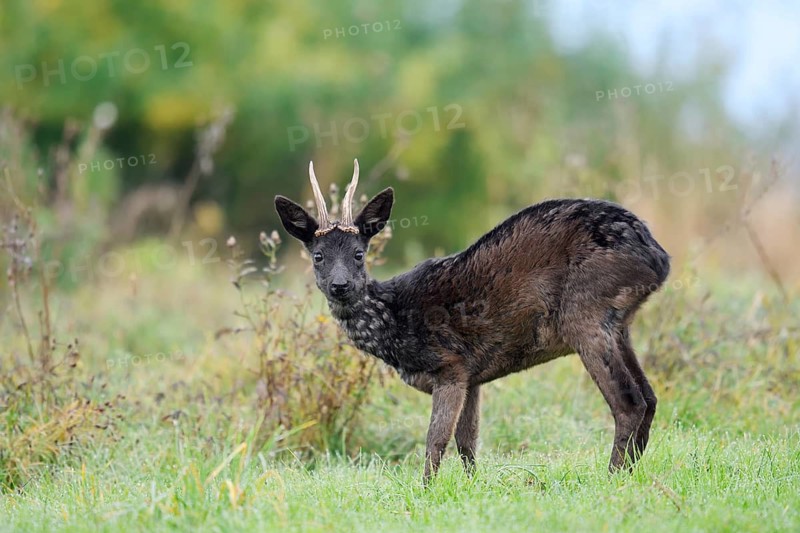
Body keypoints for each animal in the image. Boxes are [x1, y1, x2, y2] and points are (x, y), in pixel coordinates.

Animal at [274, 159, 670, 484]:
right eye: (318, 256)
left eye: (359, 254)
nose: (340, 285)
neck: (397, 325)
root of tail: (658, 256)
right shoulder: (473, 374)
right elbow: (467, 441)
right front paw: (472, 486)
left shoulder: (449, 365)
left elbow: (436, 440)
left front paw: (425, 491)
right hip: (619, 324)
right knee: (650, 397)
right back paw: (632, 473)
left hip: (584, 312)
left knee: (629, 401)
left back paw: (612, 477)